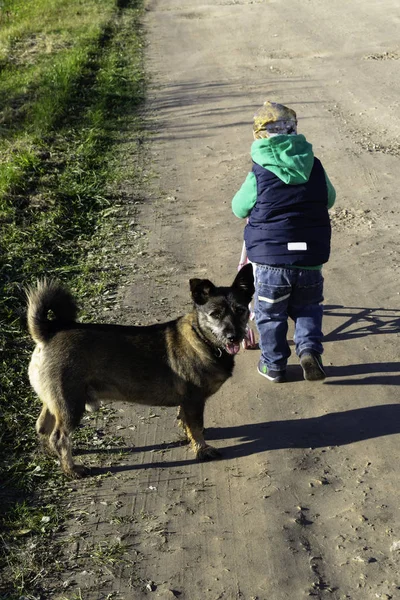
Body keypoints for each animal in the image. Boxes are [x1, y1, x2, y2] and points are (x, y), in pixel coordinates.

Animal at [26, 264, 255, 478]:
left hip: (56, 401)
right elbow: (196, 427)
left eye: (240, 310)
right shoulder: (194, 401)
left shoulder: (187, 403)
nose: (233, 336)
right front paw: (202, 449)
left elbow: (186, 422)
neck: (203, 338)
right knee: (59, 437)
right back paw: (71, 468)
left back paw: (53, 453)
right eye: (215, 314)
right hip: (71, 404)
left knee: (43, 427)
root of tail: (47, 334)